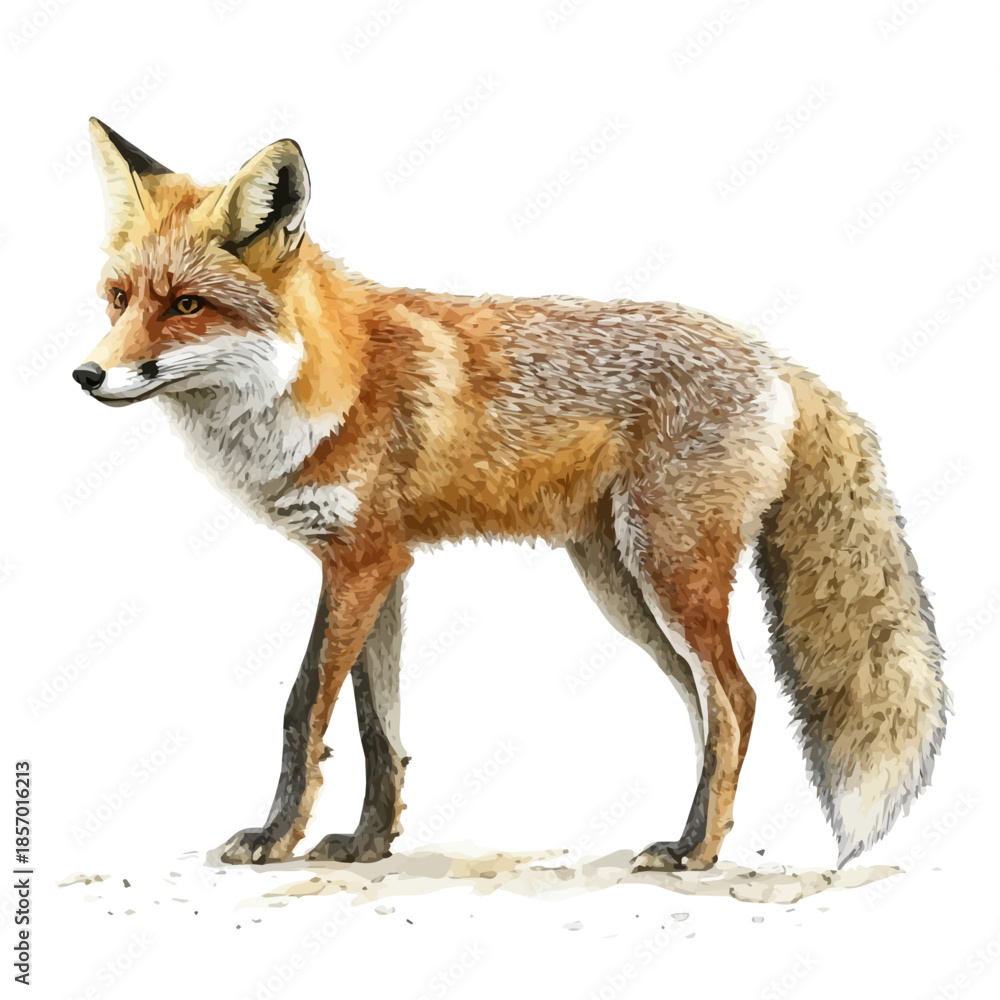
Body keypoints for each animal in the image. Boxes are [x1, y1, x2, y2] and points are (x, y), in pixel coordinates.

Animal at [74, 118, 948, 872]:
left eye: (187, 305)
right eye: (118, 299)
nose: (87, 375)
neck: (327, 380)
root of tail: (778, 360)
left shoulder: (359, 563)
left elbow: (302, 709)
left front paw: (274, 836)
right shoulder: (379, 565)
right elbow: (375, 725)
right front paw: (367, 842)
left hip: (668, 570)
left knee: (737, 699)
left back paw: (698, 854)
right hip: (623, 587)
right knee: (709, 709)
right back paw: (687, 837)